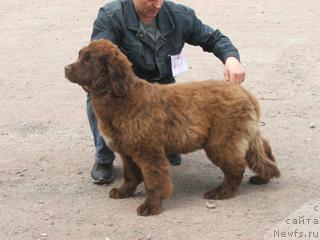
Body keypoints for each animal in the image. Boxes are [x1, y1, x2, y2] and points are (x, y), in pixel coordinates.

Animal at [65, 39, 280, 216]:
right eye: (80, 55)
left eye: (88, 60)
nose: (66, 68)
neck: (121, 97)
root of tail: (245, 93)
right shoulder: (127, 151)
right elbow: (130, 176)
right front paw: (124, 192)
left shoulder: (149, 151)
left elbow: (154, 181)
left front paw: (151, 206)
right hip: (243, 136)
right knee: (263, 151)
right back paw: (262, 178)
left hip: (221, 142)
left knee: (236, 168)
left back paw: (221, 192)